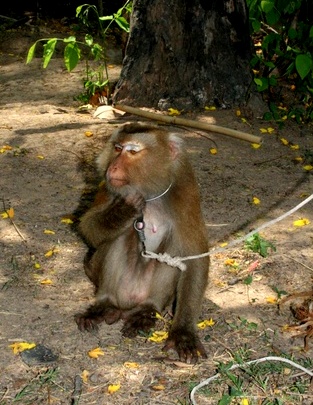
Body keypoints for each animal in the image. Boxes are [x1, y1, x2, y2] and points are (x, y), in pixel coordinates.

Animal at [74, 121, 208, 362]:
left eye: (133, 152)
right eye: (117, 148)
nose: (112, 168)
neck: (149, 192)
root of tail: (128, 304)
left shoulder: (185, 191)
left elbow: (195, 256)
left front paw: (183, 333)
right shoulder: (109, 188)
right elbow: (88, 227)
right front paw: (123, 210)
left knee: (173, 250)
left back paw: (146, 310)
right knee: (118, 237)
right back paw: (105, 305)